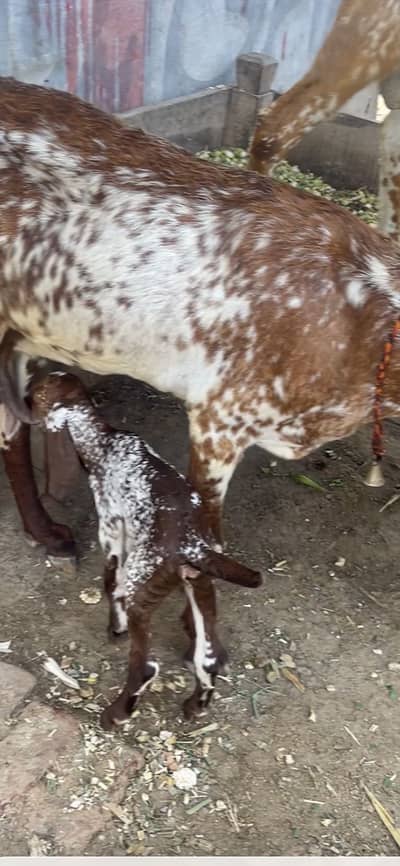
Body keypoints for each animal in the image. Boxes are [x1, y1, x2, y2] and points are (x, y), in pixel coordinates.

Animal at [32, 372, 262, 729]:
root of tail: (192, 546)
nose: (22, 406)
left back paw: (116, 714)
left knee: (145, 667)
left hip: (142, 590)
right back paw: (195, 706)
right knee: (206, 658)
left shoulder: (113, 536)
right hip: (200, 586)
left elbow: (110, 585)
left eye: (36, 393)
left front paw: (116, 628)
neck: (105, 443)